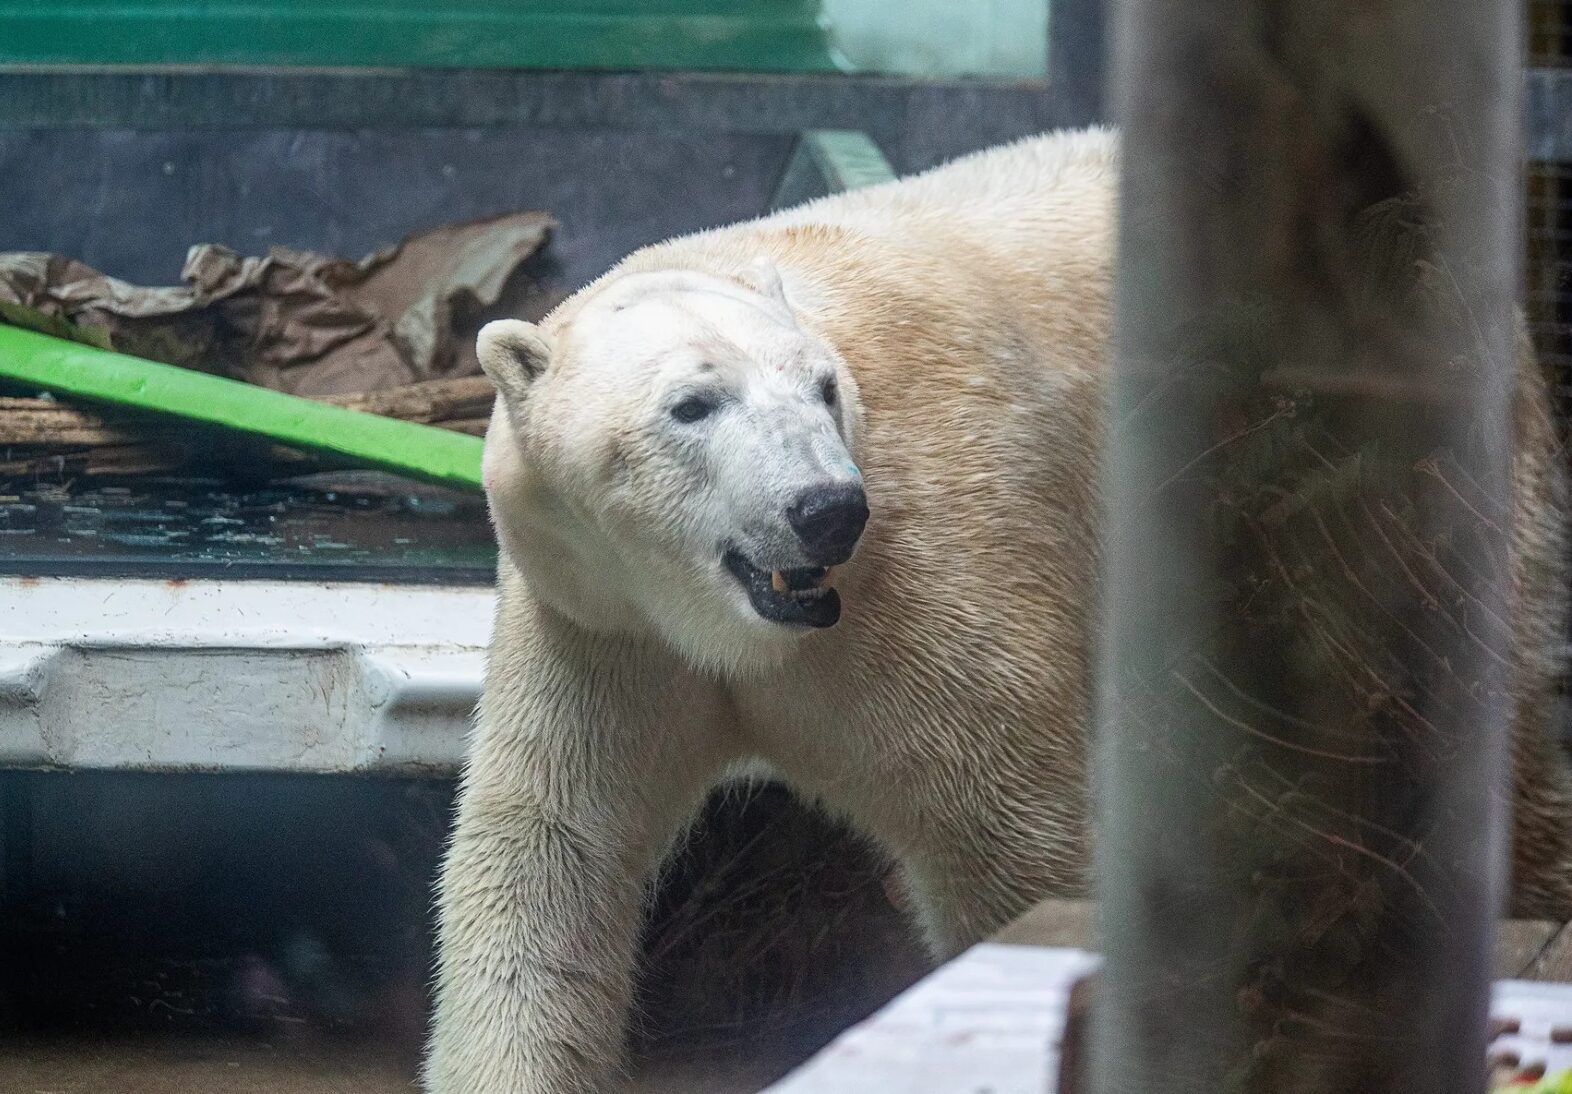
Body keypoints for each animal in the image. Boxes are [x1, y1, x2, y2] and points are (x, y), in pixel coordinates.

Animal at [424, 124, 1572, 1087]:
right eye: (692, 403)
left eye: (823, 388)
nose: (826, 509)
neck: (748, 631)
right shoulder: (602, 624)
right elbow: (547, 858)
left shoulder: (937, 569)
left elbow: (1015, 839)